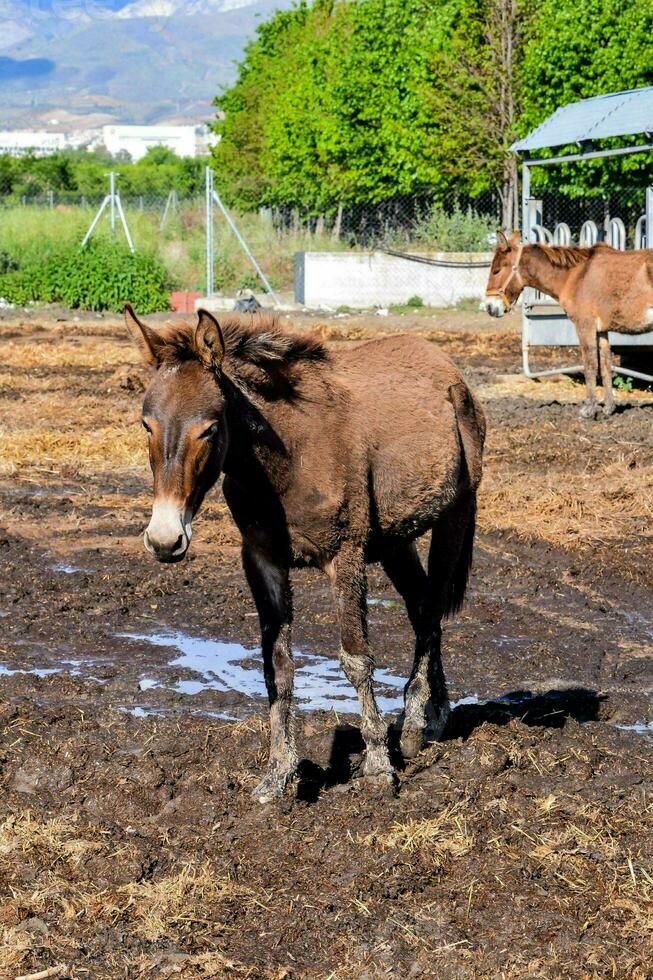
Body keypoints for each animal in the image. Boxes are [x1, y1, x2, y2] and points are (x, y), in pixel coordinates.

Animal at [126, 308, 484, 804]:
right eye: (146, 425)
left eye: (210, 428)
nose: (164, 539)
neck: (288, 460)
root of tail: (450, 369)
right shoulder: (263, 560)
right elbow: (277, 666)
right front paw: (278, 773)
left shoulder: (346, 557)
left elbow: (356, 659)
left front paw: (377, 766)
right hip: (396, 540)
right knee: (420, 609)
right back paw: (434, 716)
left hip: (454, 516)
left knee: (431, 612)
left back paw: (414, 725)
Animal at [482, 232, 652, 420]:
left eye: (496, 270)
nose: (489, 307)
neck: (575, 276)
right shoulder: (601, 330)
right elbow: (605, 366)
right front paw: (608, 408)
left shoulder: (585, 326)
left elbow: (590, 365)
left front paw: (589, 410)